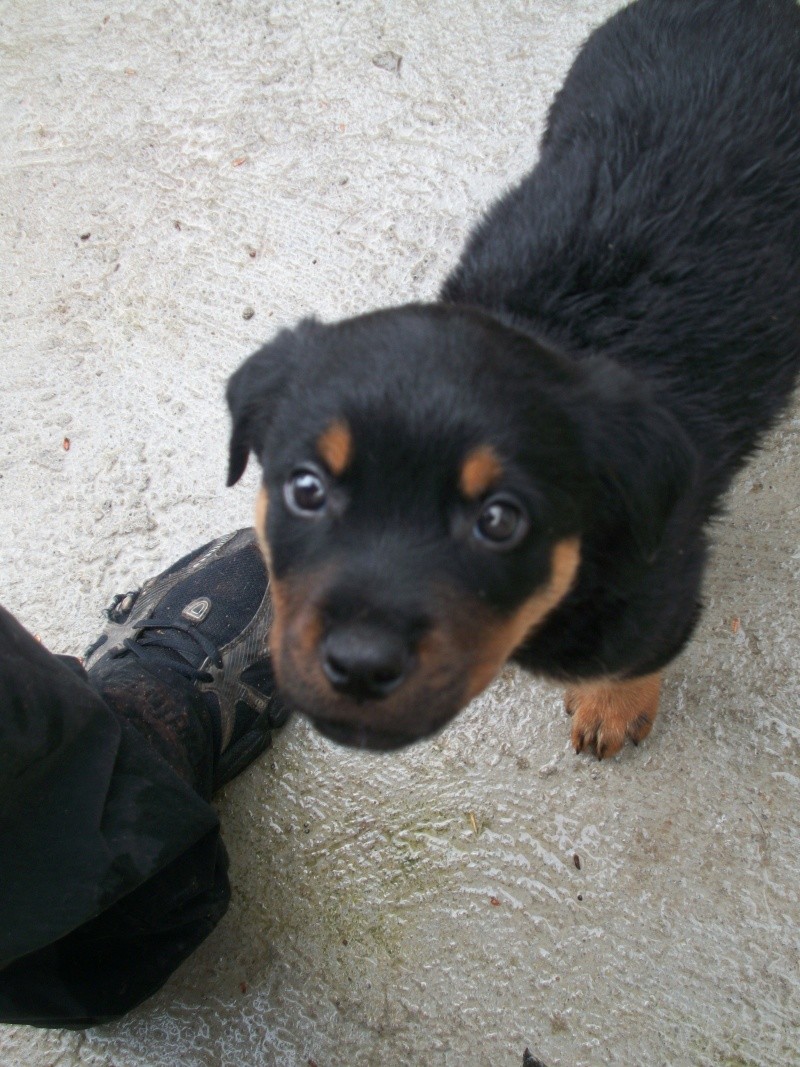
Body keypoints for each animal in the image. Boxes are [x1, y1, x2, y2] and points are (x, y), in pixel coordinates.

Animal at [226, 0, 800, 755]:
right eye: (306, 489)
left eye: (500, 520)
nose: (359, 665)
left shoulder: (659, 588)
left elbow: (634, 655)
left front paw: (611, 710)